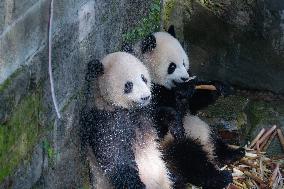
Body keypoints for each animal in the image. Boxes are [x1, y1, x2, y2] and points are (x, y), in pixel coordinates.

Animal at [80, 52, 173, 189]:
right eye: (129, 85)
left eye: (143, 78)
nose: (146, 97)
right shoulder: (105, 121)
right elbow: (116, 158)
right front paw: (136, 184)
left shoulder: (144, 114)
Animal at [123, 27, 245, 189]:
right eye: (172, 66)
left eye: (183, 62)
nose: (185, 77)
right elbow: (154, 123)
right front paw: (176, 112)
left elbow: (194, 103)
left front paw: (219, 86)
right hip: (167, 148)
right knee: (191, 157)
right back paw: (220, 177)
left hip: (199, 127)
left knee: (213, 138)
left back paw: (232, 154)